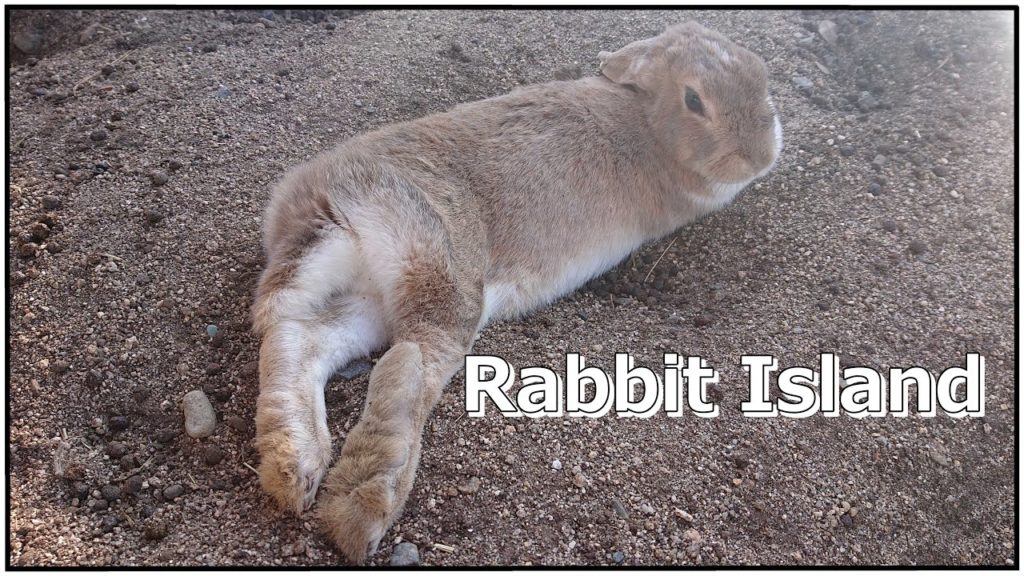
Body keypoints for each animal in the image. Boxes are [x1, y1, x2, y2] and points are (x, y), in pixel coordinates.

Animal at [251, 21, 782, 563]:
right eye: (695, 99)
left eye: (762, 78)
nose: (759, 156)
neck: (650, 121)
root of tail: (328, 206)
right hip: (438, 262)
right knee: (410, 362)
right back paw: (364, 505)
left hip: (369, 302)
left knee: (299, 339)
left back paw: (293, 464)